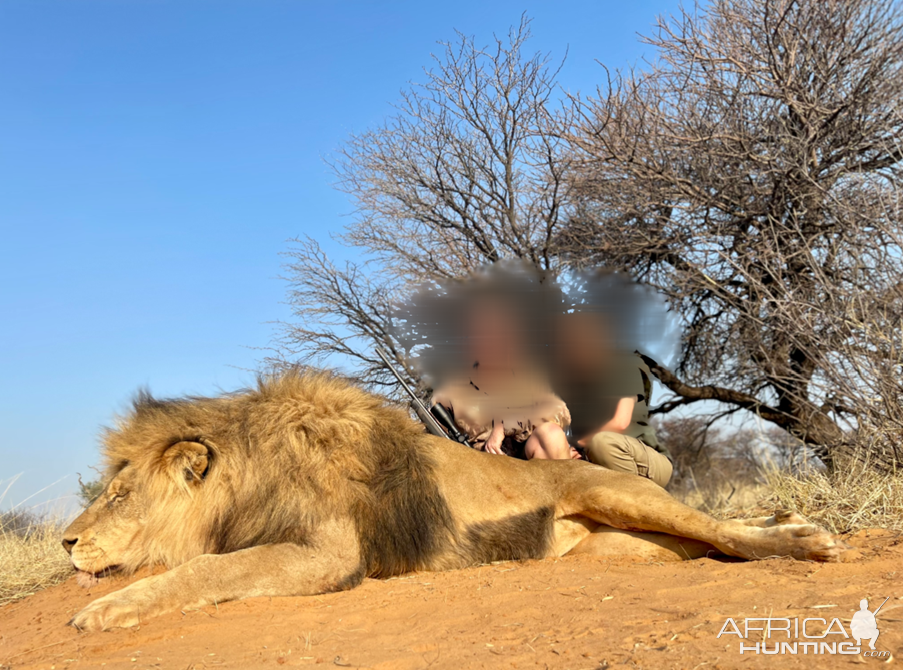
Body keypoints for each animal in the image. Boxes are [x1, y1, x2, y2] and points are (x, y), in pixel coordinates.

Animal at [65, 370, 848, 632]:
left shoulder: (327, 553)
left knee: (727, 537)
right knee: (711, 533)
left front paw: (98, 612)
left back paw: (804, 538)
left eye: (118, 493)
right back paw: (784, 516)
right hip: (617, 544)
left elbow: (207, 568)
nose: (66, 542)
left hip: (614, 492)